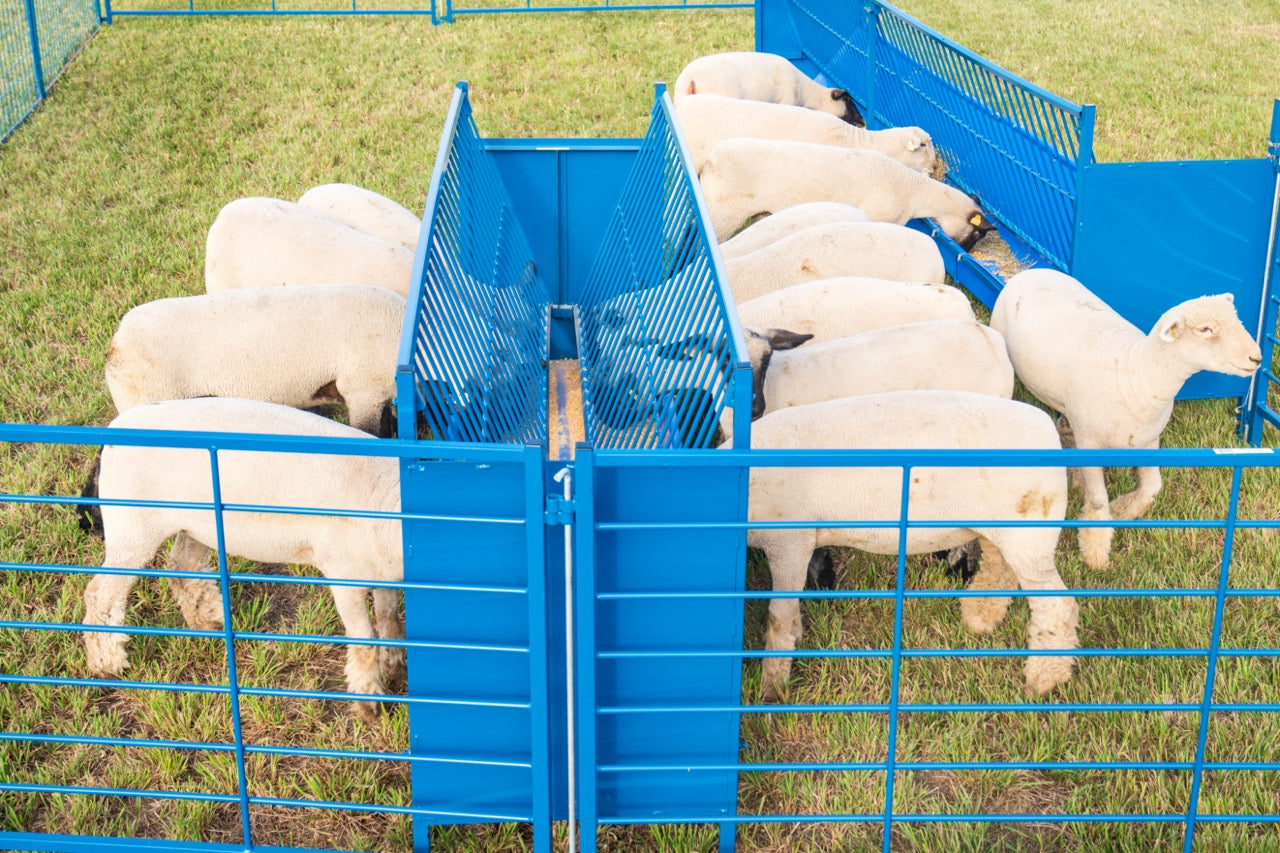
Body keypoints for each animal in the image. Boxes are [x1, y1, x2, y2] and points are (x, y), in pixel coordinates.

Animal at [80, 397, 404, 723]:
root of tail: (110, 435)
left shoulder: (383, 574)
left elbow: (388, 617)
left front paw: (395, 666)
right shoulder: (344, 574)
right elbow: (365, 641)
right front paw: (370, 705)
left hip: (197, 522)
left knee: (181, 564)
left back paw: (207, 623)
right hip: (133, 528)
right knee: (100, 594)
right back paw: (106, 663)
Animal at [742, 390, 1077, 697]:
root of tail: (1048, 428)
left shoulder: (789, 541)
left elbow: (780, 616)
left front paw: (772, 687)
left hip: (1032, 534)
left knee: (1058, 605)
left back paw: (1043, 679)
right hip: (1003, 530)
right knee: (1000, 569)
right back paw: (980, 618)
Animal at [990, 268, 1262, 568]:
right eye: (1205, 329)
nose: (1257, 358)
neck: (1137, 372)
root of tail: (1032, 270)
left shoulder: (1148, 440)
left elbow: (1153, 487)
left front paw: (1122, 510)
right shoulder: (1090, 441)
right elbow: (1098, 501)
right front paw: (1095, 551)